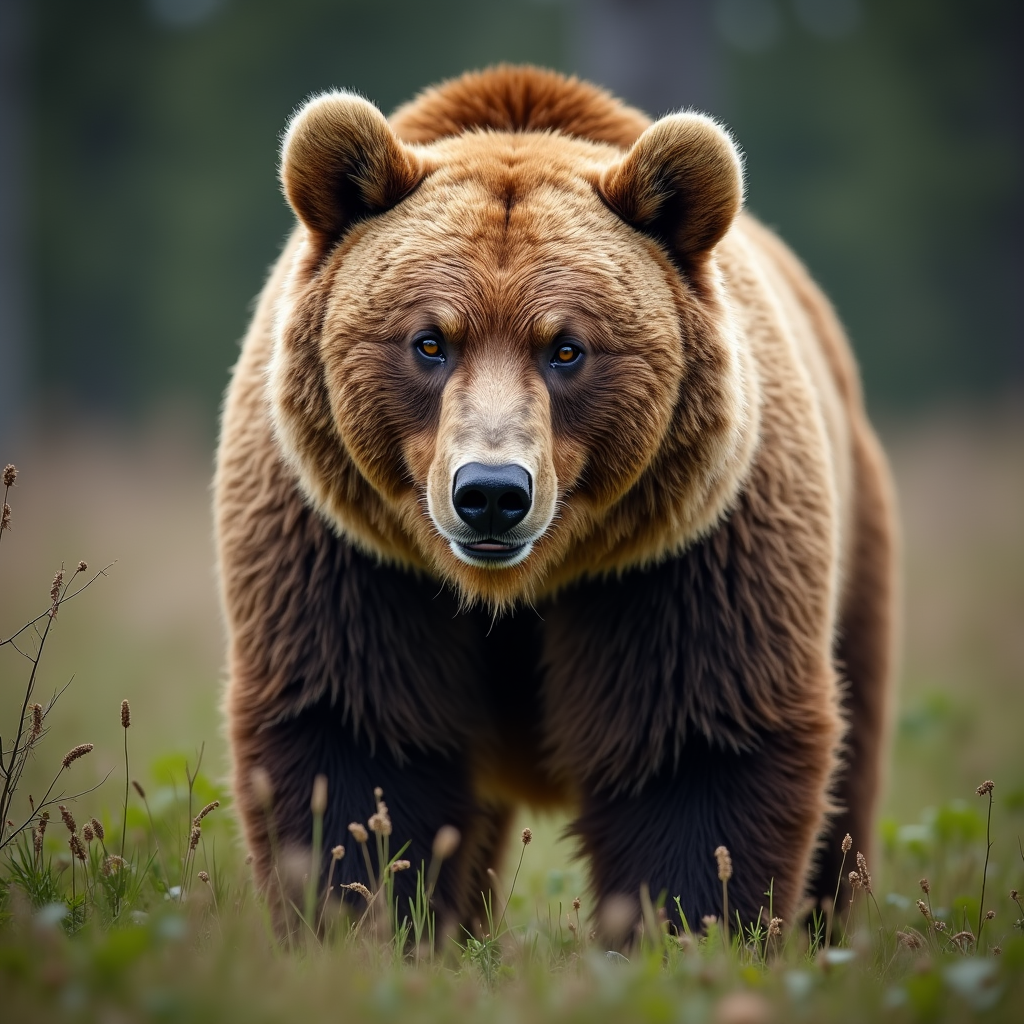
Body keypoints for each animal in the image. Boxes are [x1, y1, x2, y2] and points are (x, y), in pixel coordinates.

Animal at [214, 65, 897, 935]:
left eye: (566, 348)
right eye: (430, 341)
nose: (491, 493)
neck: (512, 592)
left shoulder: (684, 559)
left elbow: (698, 756)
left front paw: (688, 930)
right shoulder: (348, 554)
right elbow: (355, 748)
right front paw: (362, 922)